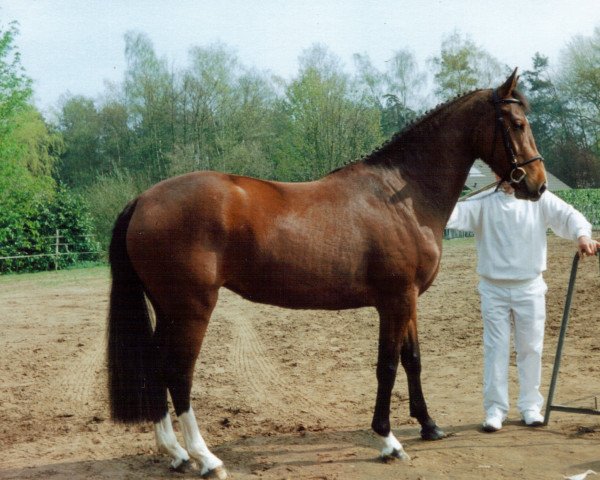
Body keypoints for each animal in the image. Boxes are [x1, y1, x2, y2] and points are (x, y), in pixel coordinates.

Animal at [108, 69, 548, 478]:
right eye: (517, 123)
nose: (538, 186)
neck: (402, 196)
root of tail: (143, 199)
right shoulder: (395, 300)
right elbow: (387, 366)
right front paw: (388, 439)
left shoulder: (408, 301)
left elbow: (412, 360)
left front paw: (429, 426)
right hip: (192, 310)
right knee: (178, 373)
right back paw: (205, 458)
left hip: (168, 310)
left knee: (158, 368)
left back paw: (176, 452)